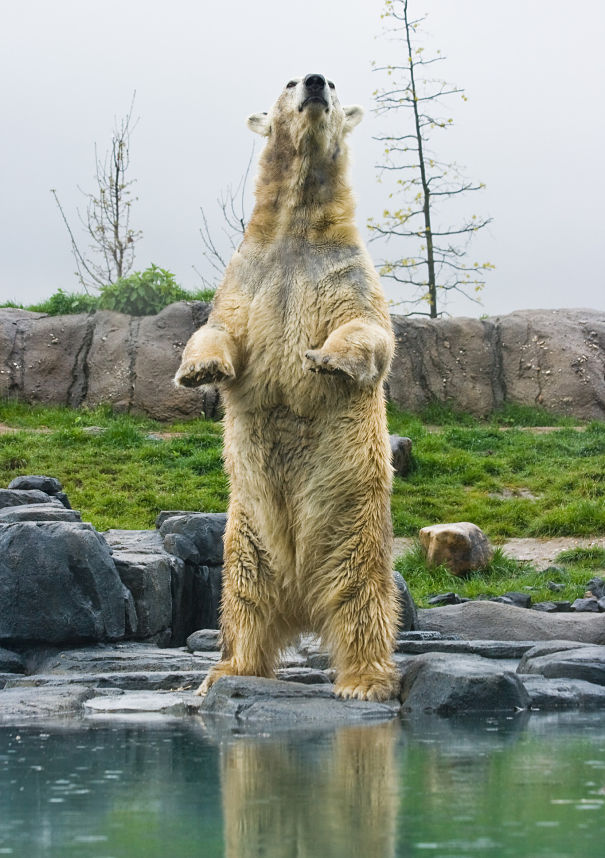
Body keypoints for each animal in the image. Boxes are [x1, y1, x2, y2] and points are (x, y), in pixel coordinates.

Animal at [175, 73, 398, 700]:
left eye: (335, 81)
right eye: (291, 80)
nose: (317, 81)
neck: (295, 233)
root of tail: (301, 599)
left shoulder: (346, 273)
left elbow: (368, 328)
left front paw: (324, 359)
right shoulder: (247, 275)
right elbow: (219, 328)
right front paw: (198, 372)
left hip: (354, 526)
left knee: (362, 599)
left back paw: (364, 679)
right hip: (246, 536)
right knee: (243, 601)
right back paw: (228, 669)